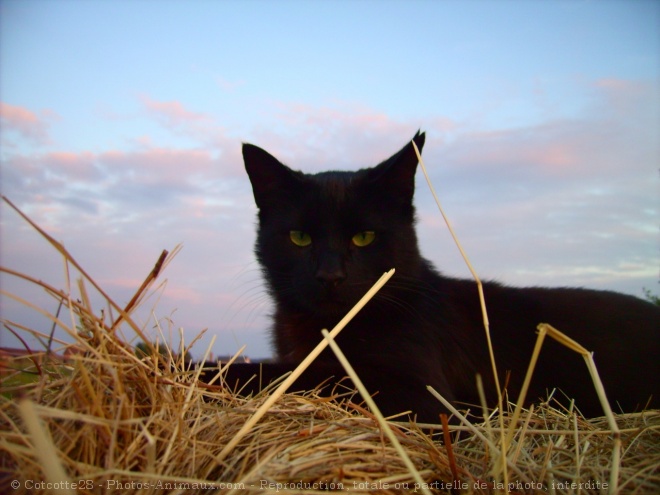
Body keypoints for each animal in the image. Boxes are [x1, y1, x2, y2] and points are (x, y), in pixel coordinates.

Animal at [204, 132, 656, 422]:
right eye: (299, 237)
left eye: (364, 236)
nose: (330, 275)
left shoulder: (425, 398)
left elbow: (308, 375)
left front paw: (197, 369)